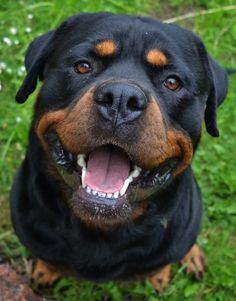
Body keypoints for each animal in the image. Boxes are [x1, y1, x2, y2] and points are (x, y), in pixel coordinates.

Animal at [9, 12, 229, 290]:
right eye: (83, 66)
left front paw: (159, 275)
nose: (121, 98)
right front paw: (46, 270)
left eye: (172, 82)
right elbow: (48, 257)